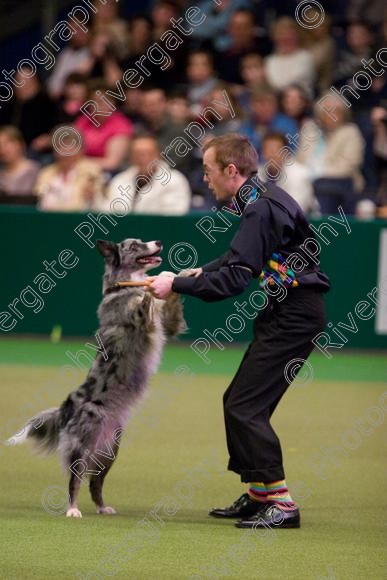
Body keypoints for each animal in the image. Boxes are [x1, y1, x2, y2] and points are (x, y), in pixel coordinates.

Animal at [6, 238, 187, 520]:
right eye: (134, 246)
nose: (157, 242)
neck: (123, 286)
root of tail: (68, 406)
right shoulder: (142, 320)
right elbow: (144, 302)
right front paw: (151, 287)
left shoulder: (167, 324)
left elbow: (171, 304)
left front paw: (180, 275)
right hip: (82, 448)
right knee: (75, 481)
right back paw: (72, 509)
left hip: (110, 451)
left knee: (95, 483)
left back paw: (102, 507)